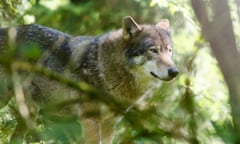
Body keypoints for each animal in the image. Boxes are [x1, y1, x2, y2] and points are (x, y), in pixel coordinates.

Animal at [0, 16, 178, 143]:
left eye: (169, 51)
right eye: (153, 50)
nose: (175, 71)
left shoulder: (110, 123)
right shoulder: (90, 120)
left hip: (30, 112)